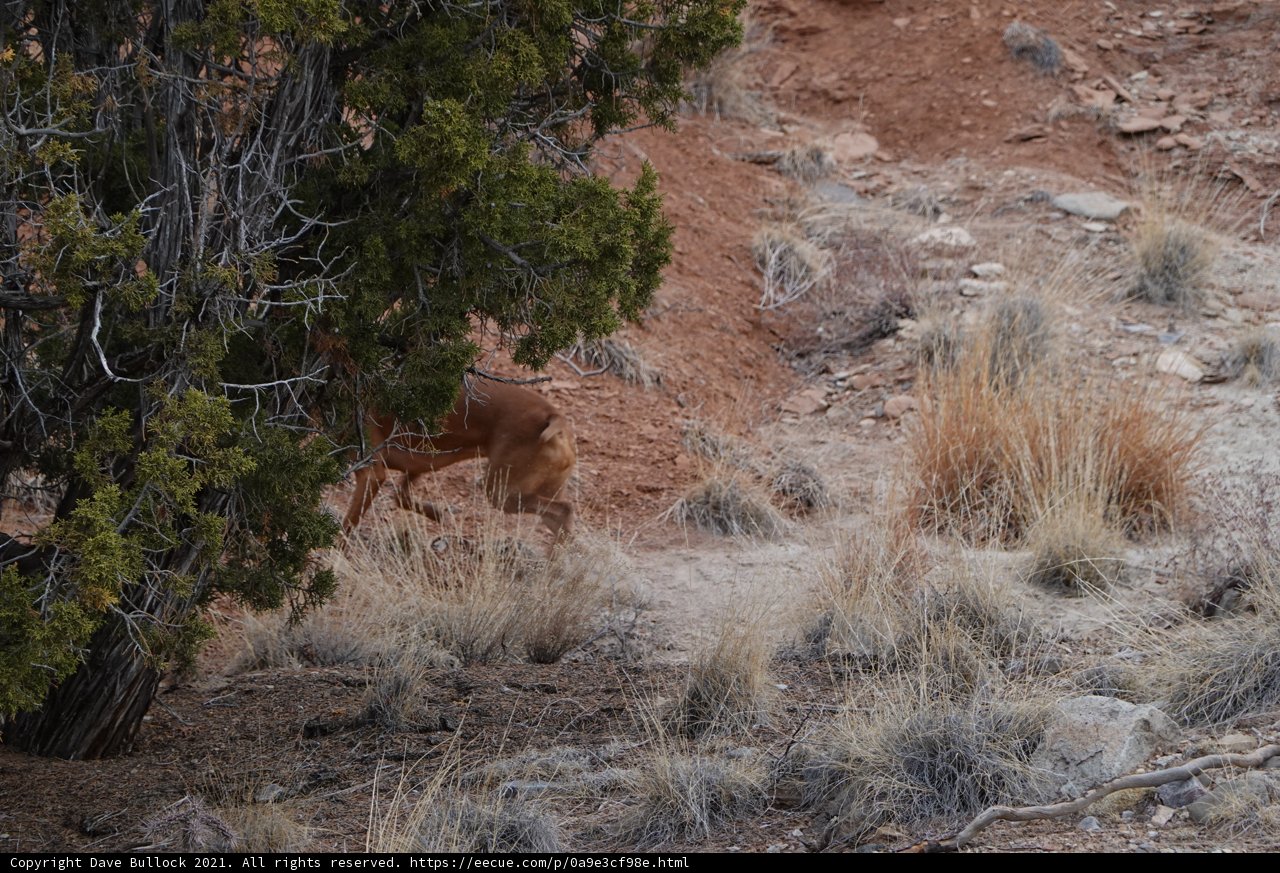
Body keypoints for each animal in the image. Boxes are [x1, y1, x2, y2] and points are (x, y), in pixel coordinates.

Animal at [341, 377, 576, 551]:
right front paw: (436, 514)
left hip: (500, 493)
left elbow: (345, 529)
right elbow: (401, 497)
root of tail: (554, 416)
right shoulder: (418, 465)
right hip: (537, 492)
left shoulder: (371, 475)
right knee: (562, 520)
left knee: (564, 510)